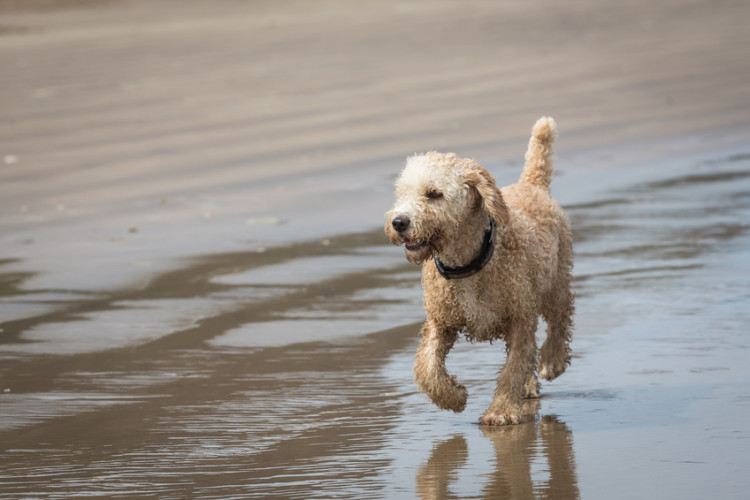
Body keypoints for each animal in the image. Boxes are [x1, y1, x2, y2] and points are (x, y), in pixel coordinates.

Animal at [388, 117, 576, 426]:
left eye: (434, 194)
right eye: (402, 193)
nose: (399, 222)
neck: (466, 263)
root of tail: (531, 184)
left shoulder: (519, 317)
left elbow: (513, 367)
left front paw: (501, 411)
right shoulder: (441, 321)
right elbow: (427, 368)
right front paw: (454, 397)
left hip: (556, 281)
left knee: (561, 318)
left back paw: (553, 360)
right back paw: (529, 386)